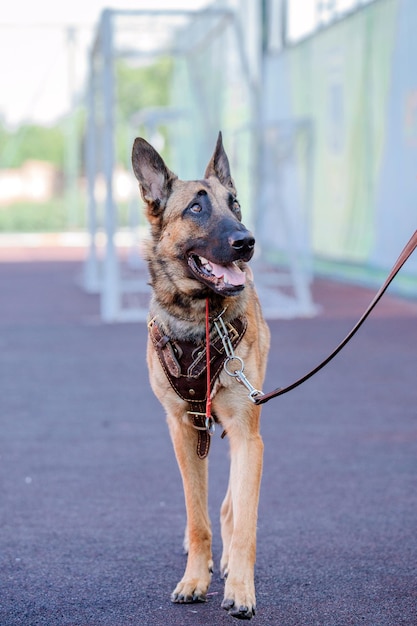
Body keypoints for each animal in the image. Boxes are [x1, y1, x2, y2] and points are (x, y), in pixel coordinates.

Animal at [132, 133, 272, 620]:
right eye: (196, 208)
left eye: (236, 204)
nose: (247, 242)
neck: (200, 319)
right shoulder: (183, 429)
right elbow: (198, 519)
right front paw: (195, 579)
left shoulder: (248, 435)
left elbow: (245, 522)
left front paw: (241, 591)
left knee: (232, 505)